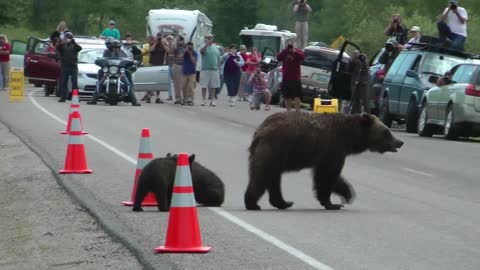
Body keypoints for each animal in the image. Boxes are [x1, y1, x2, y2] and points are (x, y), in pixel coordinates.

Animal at [246, 112, 404, 211]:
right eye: (386, 132)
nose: (400, 142)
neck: (349, 137)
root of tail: (260, 130)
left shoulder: (327, 155)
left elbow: (329, 176)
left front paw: (346, 195)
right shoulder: (333, 148)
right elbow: (327, 176)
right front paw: (334, 203)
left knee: (273, 179)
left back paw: (284, 202)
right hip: (275, 149)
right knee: (262, 176)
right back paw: (253, 203)